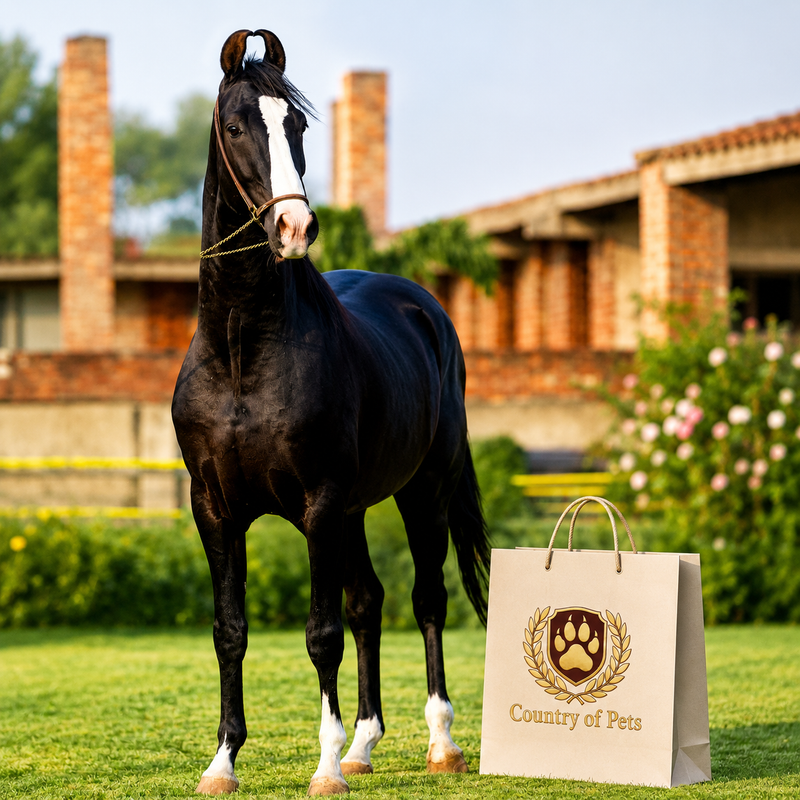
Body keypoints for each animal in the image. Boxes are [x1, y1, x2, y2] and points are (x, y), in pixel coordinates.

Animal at [171, 29, 490, 796]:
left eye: (298, 126)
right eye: (236, 125)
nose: (294, 225)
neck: (242, 355)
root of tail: (425, 307)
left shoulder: (318, 502)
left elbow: (322, 635)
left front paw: (322, 768)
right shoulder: (216, 509)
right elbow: (231, 630)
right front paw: (223, 761)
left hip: (421, 491)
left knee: (427, 599)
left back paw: (440, 743)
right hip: (355, 510)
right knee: (369, 600)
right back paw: (364, 747)